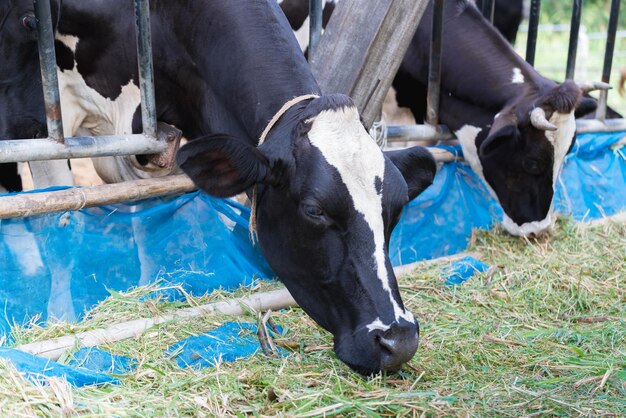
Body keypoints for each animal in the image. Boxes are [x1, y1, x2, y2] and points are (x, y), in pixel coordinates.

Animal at [0, 0, 434, 374]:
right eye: (314, 210)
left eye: (397, 208)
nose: (399, 340)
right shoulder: (42, 119)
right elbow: (59, 224)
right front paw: (60, 315)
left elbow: (147, 222)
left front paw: (150, 293)